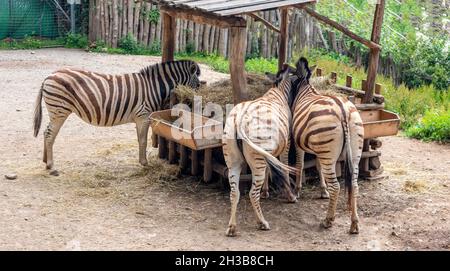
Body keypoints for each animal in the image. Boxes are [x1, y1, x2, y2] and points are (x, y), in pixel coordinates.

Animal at [32, 60, 200, 173]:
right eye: (198, 83)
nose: (197, 102)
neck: (154, 87)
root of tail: (48, 77)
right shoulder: (143, 115)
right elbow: (143, 140)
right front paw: (144, 163)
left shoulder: (139, 118)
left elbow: (139, 139)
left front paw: (142, 161)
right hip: (59, 110)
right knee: (49, 134)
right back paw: (51, 166)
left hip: (56, 111)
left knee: (46, 132)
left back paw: (45, 161)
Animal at [223, 65, 300, 237]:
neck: (278, 91)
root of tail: (239, 119)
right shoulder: (286, 144)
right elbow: (284, 169)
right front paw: (290, 196)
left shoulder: (267, 152)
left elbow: (269, 170)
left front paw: (265, 192)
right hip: (255, 158)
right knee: (252, 193)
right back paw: (262, 223)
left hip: (233, 160)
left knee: (234, 192)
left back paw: (232, 227)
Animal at [290, 58, 364, 235]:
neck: (305, 90)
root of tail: (343, 110)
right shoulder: (319, 148)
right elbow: (318, 166)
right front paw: (323, 191)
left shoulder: (298, 142)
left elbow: (300, 164)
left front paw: (297, 191)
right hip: (353, 152)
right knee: (355, 185)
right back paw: (354, 224)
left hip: (329, 153)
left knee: (336, 187)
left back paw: (328, 220)